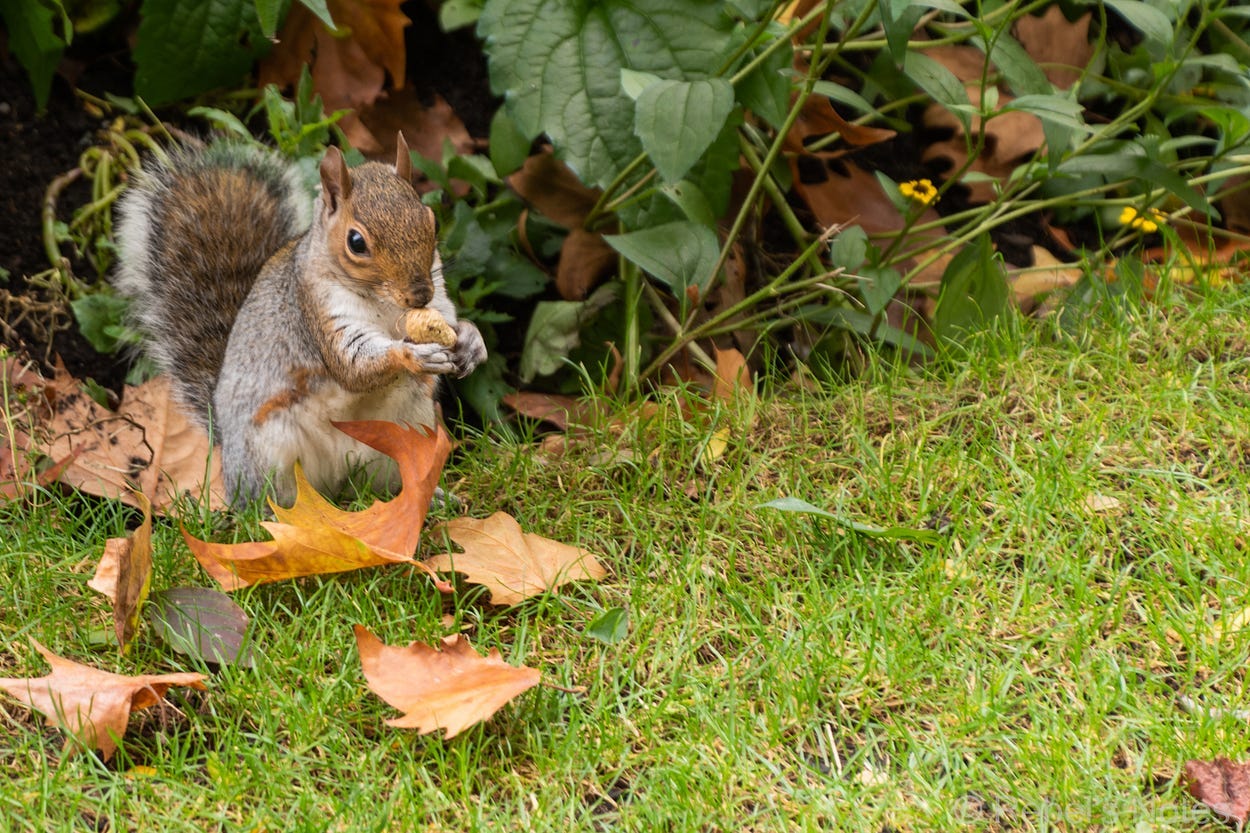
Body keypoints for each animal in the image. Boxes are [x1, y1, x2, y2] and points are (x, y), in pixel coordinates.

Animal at [112, 134, 487, 507]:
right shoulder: (318, 312)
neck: (387, 307)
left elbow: (450, 323)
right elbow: (352, 367)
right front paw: (413, 355)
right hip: (269, 453)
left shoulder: (439, 301)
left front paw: (471, 342)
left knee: (387, 484)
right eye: (356, 242)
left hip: (405, 433)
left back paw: (427, 497)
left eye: (431, 221)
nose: (419, 295)